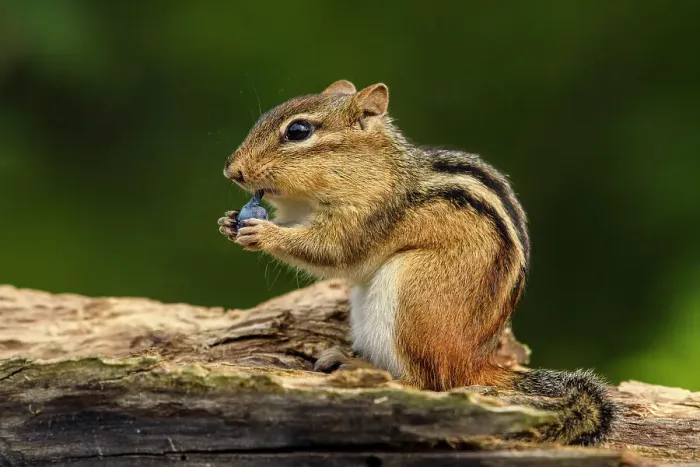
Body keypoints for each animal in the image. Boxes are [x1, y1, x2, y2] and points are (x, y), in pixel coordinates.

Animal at [218, 79, 618, 445]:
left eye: (298, 131)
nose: (231, 170)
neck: (374, 171)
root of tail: (474, 363)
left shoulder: (369, 216)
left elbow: (333, 250)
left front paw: (265, 234)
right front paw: (228, 221)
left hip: (410, 290)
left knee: (429, 383)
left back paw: (358, 366)